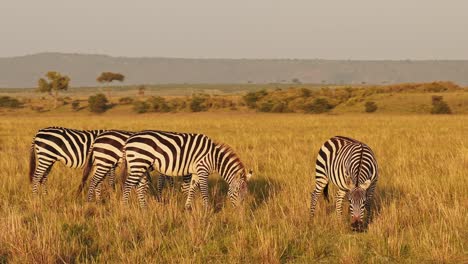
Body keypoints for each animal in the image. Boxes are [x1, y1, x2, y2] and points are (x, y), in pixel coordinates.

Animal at [120, 130, 252, 208]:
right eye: (236, 192)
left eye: (245, 194)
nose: (240, 212)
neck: (214, 157)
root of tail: (129, 140)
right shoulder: (202, 169)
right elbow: (204, 191)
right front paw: (207, 210)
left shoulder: (196, 172)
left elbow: (191, 189)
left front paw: (188, 207)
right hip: (139, 163)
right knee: (128, 185)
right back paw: (125, 207)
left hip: (141, 166)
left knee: (140, 187)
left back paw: (144, 209)